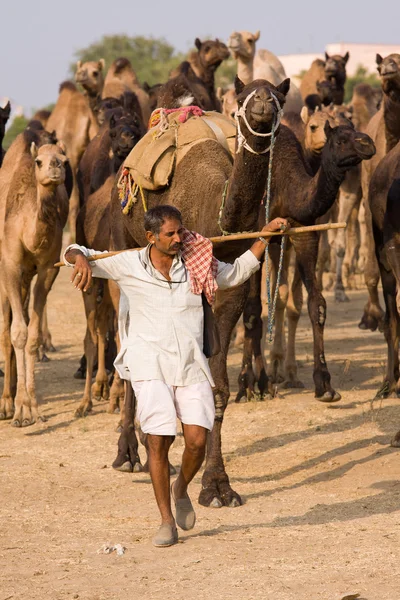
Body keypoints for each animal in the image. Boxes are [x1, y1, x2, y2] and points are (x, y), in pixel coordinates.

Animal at [234, 119, 376, 404]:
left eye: (354, 129)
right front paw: (246, 383)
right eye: (340, 140)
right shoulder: (258, 235)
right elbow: (253, 309)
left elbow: (316, 305)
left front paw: (325, 384)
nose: (368, 143)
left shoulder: (304, 234)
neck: (288, 189)